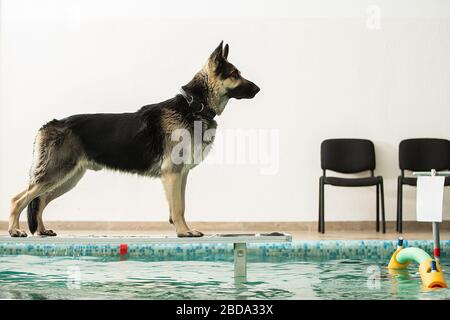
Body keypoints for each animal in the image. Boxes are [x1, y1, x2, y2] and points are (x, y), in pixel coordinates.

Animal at [7, 41, 260, 238]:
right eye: (235, 74)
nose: (258, 89)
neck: (193, 105)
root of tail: (49, 124)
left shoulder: (181, 175)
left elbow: (181, 206)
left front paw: (183, 229)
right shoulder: (173, 174)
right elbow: (178, 208)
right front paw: (183, 232)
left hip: (66, 179)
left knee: (40, 200)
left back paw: (41, 230)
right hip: (57, 174)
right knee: (19, 199)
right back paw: (14, 230)